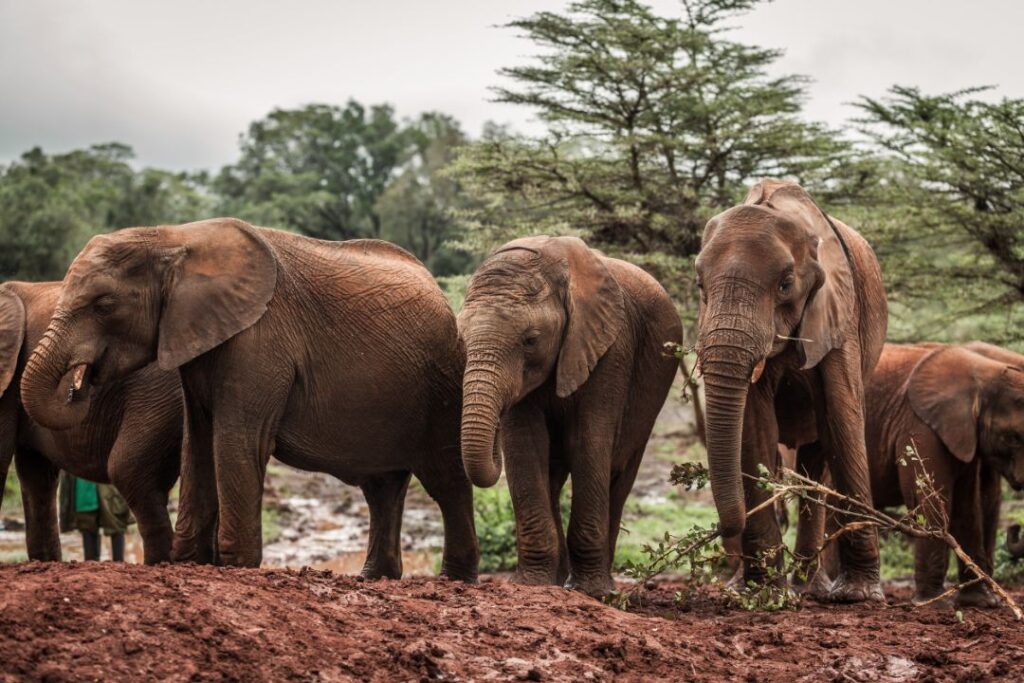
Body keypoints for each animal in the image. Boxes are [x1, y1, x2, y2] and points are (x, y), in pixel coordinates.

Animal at [20, 218, 479, 579]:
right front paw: (190, 563)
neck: (174, 238)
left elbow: (235, 439)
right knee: (382, 488)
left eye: (104, 305)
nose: (80, 383)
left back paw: (453, 578)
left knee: (447, 480)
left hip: (441, 387)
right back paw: (374, 577)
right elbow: (197, 442)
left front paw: (234, 565)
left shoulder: (259, 337)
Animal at [457, 236, 681, 597]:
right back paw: (559, 578)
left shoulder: (611, 347)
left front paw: (590, 591)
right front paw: (532, 584)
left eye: (531, 340)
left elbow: (589, 442)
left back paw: (600, 585)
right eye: (462, 339)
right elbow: (525, 446)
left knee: (620, 472)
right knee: (552, 474)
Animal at [695, 179, 887, 602]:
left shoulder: (840, 313)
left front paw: (859, 595)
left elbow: (842, 420)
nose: (723, 528)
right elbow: (755, 429)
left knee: (817, 459)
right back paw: (754, 587)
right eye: (699, 285)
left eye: (785, 285)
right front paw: (767, 595)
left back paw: (812, 588)